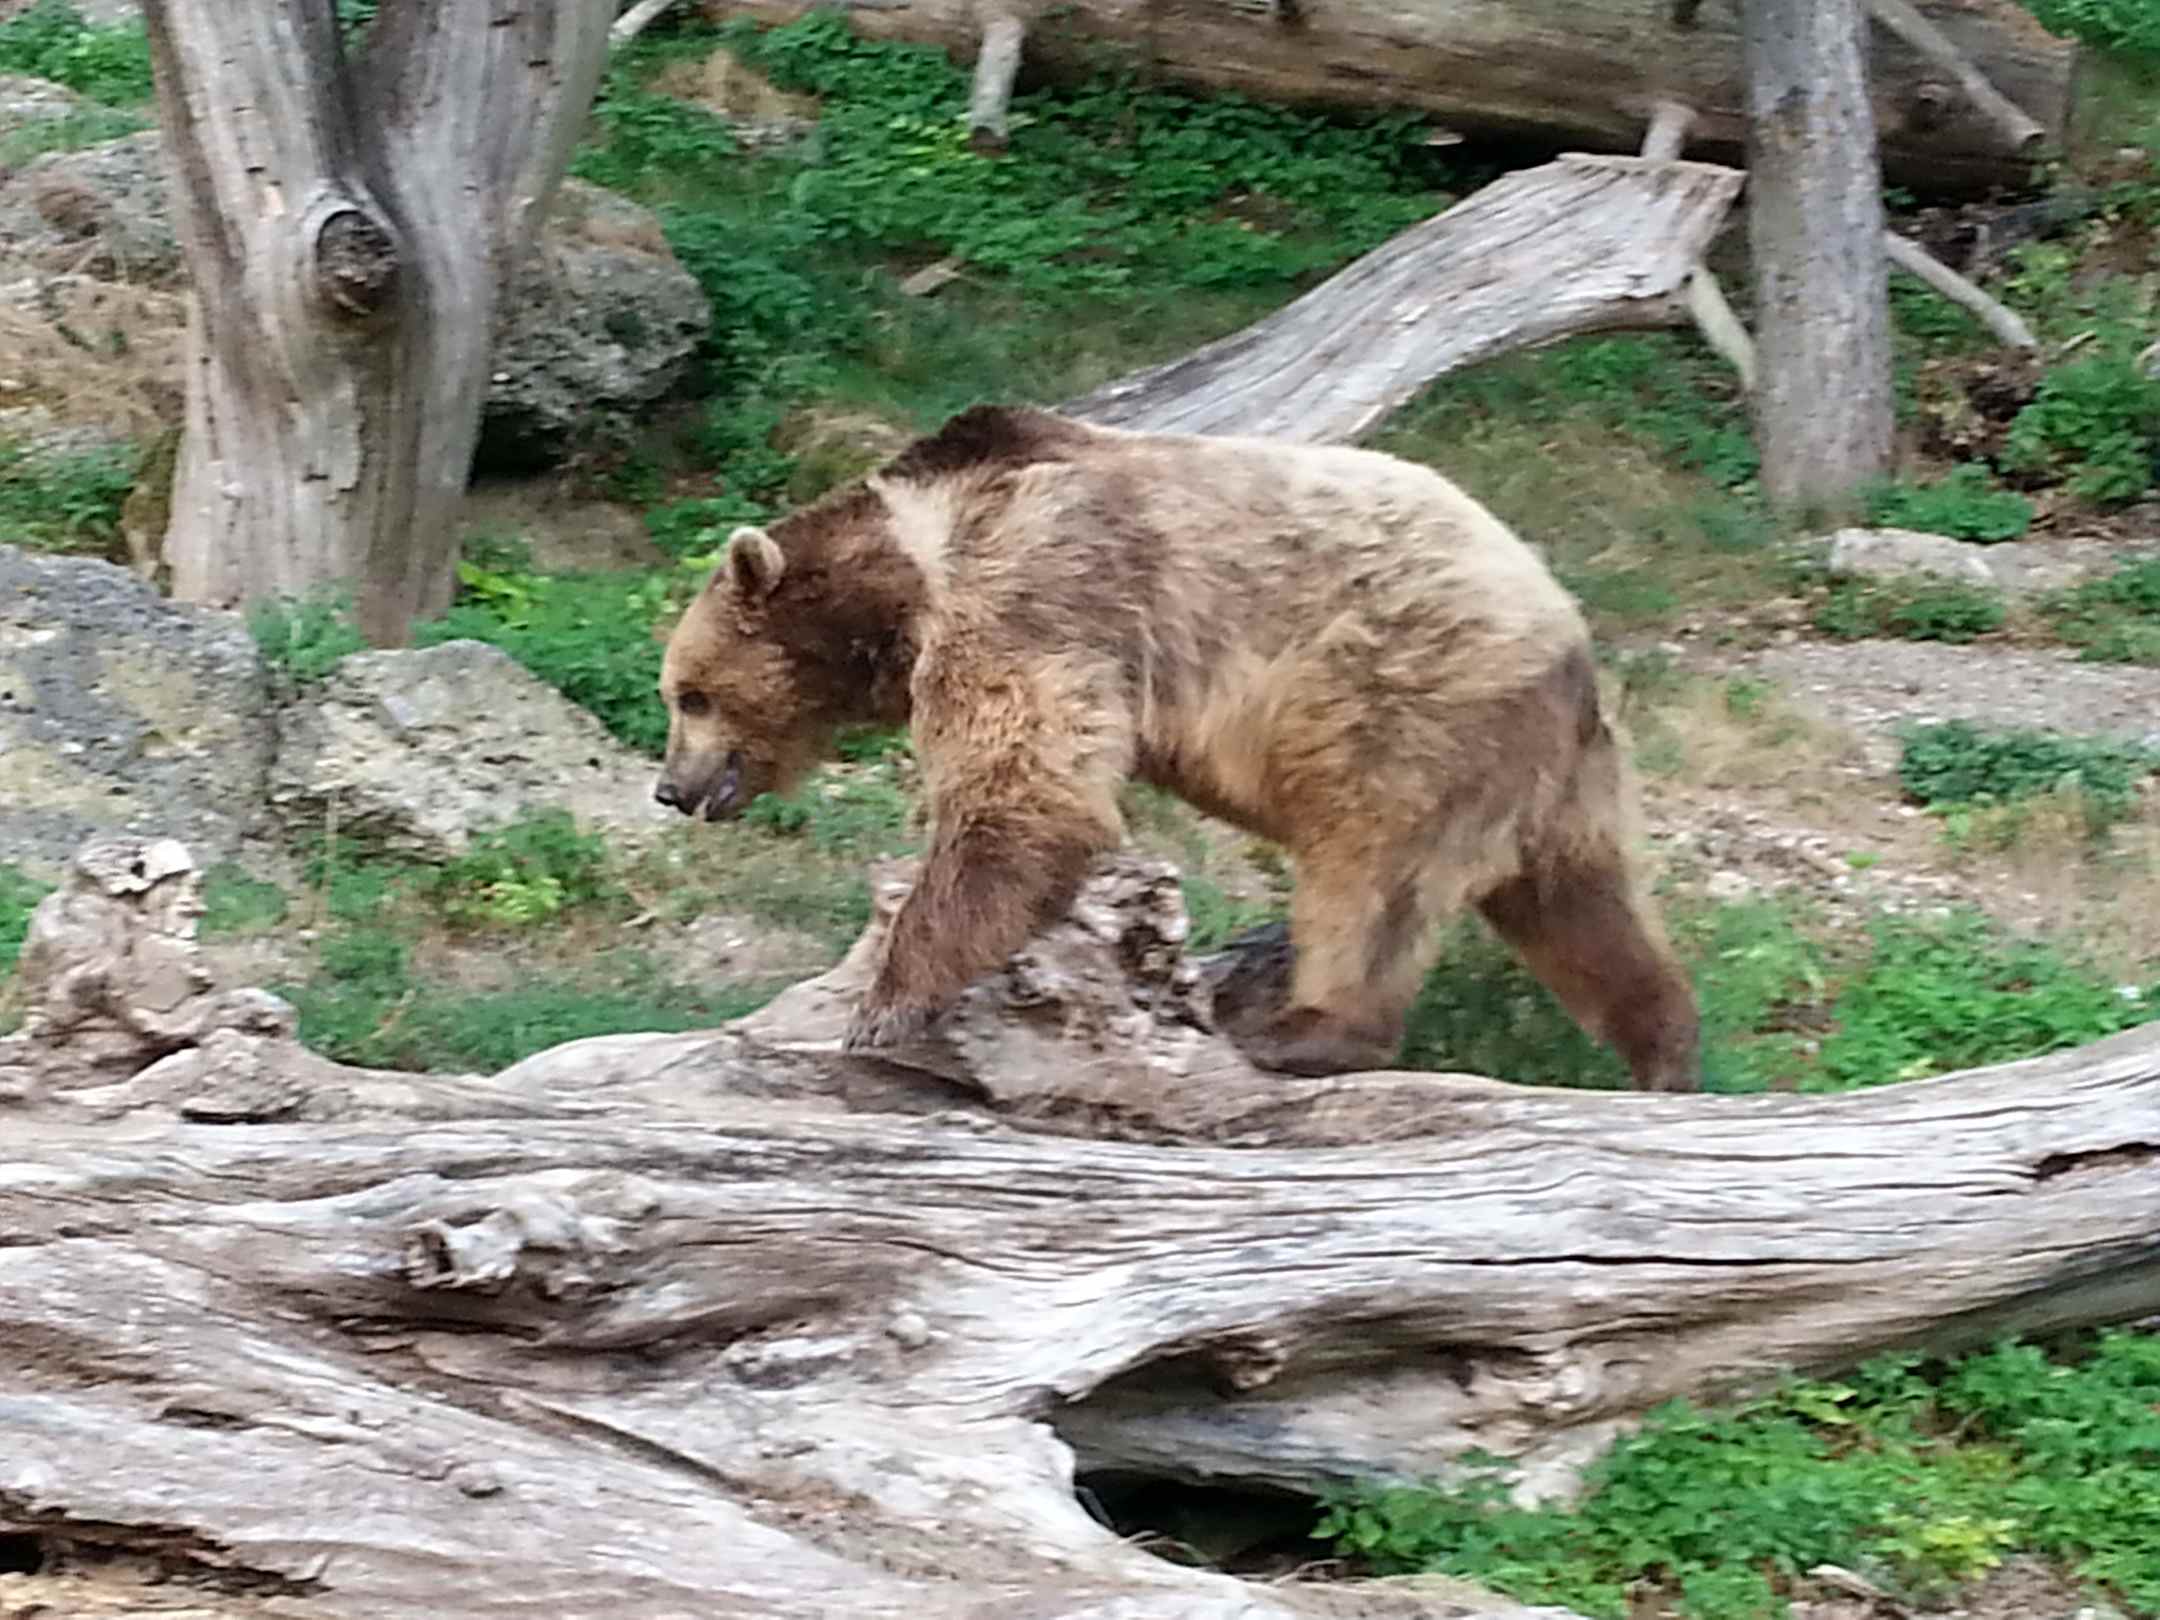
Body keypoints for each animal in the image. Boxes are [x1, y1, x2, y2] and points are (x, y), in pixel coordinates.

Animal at [653, 404, 1701, 1090]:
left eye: (690, 694)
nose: (672, 788)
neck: (903, 583)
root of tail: (1567, 632)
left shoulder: (1033, 596)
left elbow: (1027, 791)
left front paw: (886, 1004)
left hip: (1405, 709)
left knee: (1369, 883)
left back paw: (1301, 1029)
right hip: (1557, 775)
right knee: (1585, 912)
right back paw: (1666, 1050)